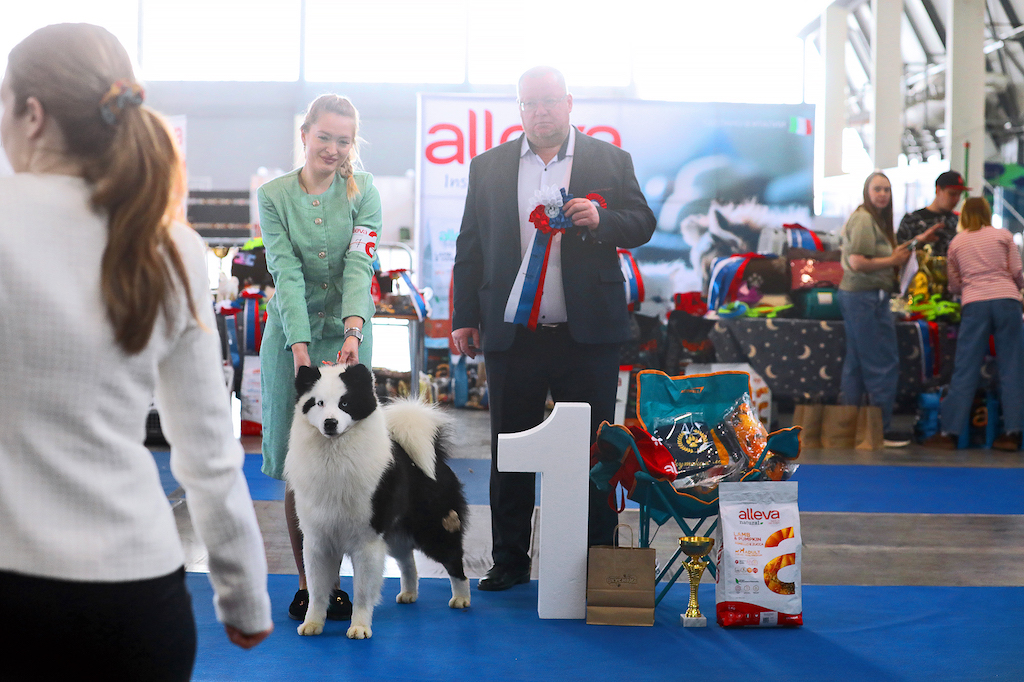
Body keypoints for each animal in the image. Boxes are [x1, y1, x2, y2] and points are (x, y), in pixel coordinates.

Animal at [284, 362, 470, 639]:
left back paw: (461, 599)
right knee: (408, 562)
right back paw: (409, 593)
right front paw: (313, 623)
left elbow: (362, 591)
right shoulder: (318, 541)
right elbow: (317, 590)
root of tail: (436, 458)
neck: (334, 457)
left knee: (454, 561)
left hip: (434, 529)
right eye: (318, 403)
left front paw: (360, 627)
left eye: (345, 403)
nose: (330, 423)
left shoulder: (367, 541)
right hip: (395, 535)